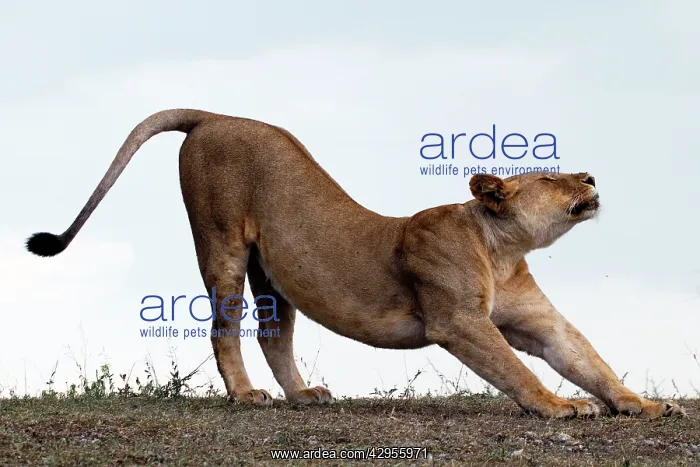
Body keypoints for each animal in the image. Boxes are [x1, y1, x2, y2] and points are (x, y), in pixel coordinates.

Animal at [26, 108, 685, 419]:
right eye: (550, 176)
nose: (593, 176)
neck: (503, 251)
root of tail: (212, 115)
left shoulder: (540, 322)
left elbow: (588, 360)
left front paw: (644, 404)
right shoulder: (457, 321)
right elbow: (516, 370)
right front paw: (558, 406)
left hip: (274, 271)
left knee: (273, 334)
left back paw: (301, 395)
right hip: (222, 243)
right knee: (222, 329)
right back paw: (246, 395)